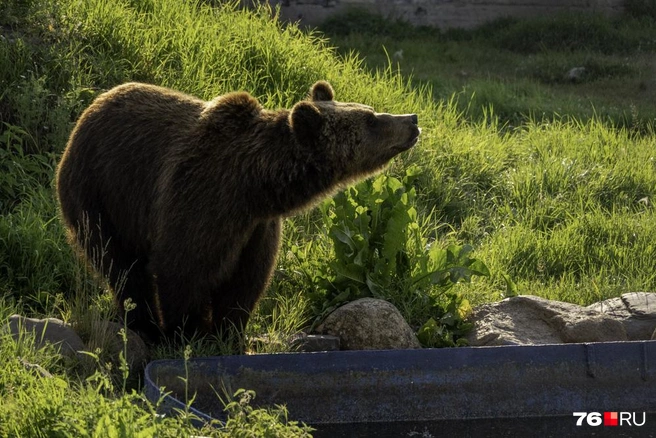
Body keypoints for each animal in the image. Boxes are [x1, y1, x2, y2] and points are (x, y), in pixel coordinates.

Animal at [56, 80, 420, 342]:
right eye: (370, 119)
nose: (412, 119)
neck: (255, 186)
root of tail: (88, 112)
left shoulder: (256, 229)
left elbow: (247, 282)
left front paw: (228, 333)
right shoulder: (200, 200)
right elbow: (183, 267)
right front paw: (189, 333)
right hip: (100, 195)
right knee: (121, 265)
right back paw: (143, 324)